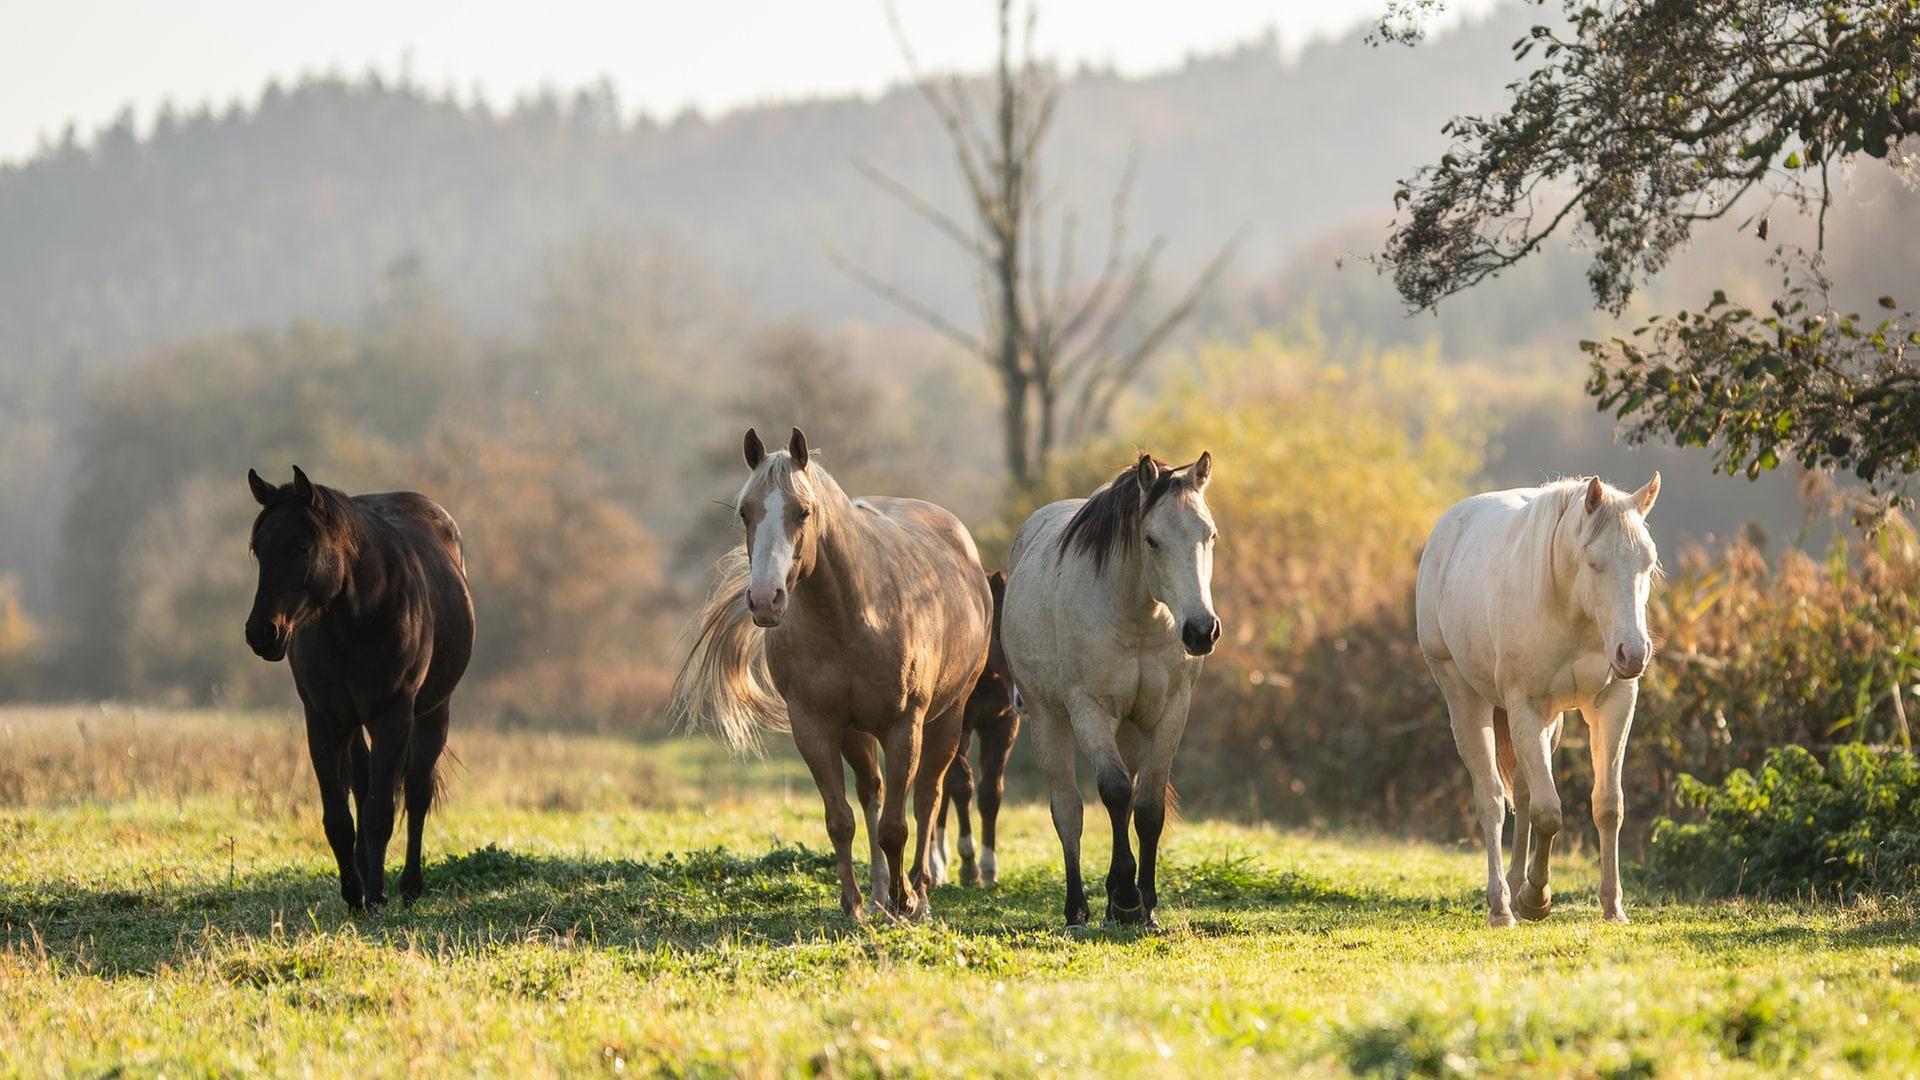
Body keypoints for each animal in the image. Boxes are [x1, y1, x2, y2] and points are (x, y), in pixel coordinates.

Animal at [245, 466, 475, 913]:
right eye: (258, 548)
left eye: (302, 545)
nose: (262, 633)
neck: (355, 620)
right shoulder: (323, 720)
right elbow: (339, 816)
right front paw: (355, 893)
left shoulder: (392, 716)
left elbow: (380, 813)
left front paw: (375, 896)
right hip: (354, 725)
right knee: (363, 785)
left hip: (432, 713)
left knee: (416, 793)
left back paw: (408, 886)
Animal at [671, 428, 992, 921]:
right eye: (745, 512)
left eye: (803, 511)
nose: (764, 600)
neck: (852, 615)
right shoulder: (816, 725)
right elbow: (841, 819)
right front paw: (855, 905)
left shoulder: (904, 726)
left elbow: (898, 824)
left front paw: (904, 900)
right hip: (856, 733)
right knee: (872, 793)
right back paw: (879, 895)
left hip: (946, 717)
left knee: (926, 800)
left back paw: (918, 894)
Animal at [929, 569, 1021, 889]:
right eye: (1000, 630)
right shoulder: (957, 726)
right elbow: (961, 784)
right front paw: (968, 865)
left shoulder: (1003, 725)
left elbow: (990, 791)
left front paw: (989, 867)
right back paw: (935, 865)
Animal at [1002, 452, 1219, 928]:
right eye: (1151, 540)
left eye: (1210, 535)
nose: (1201, 631)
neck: (1138, 616)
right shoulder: (1090, 709)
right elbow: (1115, 792)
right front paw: (1124, 895)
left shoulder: (1170, 712)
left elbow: (1148, 807)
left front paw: (1145, 905)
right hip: (1049, 720)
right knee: (1068, 811)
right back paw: (1077, 909)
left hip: (1131, 730)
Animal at [1415, 473, 1661, 927]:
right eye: (1594, 562)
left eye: (1647, 563)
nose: (1634, 654)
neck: (1572, 610)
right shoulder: (1525, 705)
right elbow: (1549, 811)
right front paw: (1536, 899)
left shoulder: (1614, 702)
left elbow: (1608, 805)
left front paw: (1612, 907)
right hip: (1466, 698)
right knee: (1492, 799)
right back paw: (1501, 906)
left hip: (1550, 722)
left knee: (1524, 794)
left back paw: (1514, 887)